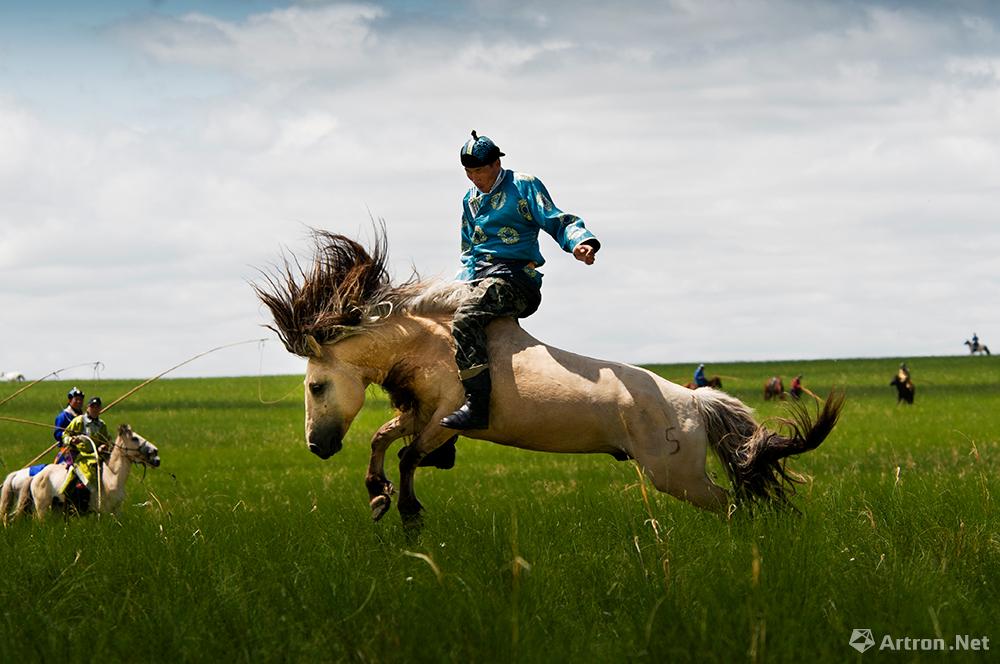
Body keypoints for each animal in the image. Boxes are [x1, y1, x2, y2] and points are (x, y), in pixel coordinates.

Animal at [1, 426, 160, 524]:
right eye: (134, 438)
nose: (155, 453)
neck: (112, 477)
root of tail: (36, 476)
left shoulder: (116, 511)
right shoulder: (104, 512)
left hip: (56, 509)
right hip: (42, 509)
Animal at [254, 233, 840, 524]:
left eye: (316, 386)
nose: (318, 446)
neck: (434, 345)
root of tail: (697, 403)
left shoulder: (445, 418)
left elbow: (408, 455)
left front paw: (408, 510)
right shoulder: (418, 412)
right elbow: (383, 441)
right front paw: (378, 497)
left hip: (677, 478)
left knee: (733, 504)